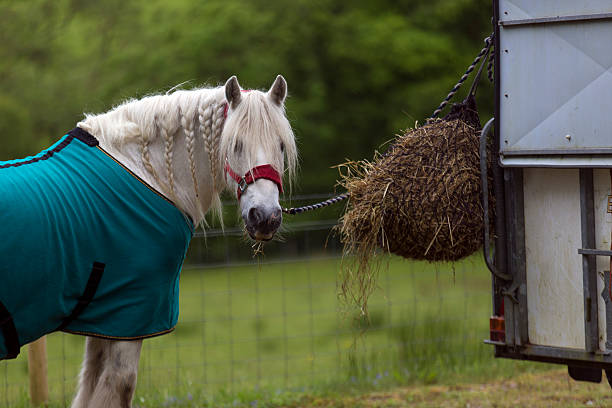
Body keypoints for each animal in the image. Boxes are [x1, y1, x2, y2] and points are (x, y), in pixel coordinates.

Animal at [68, 75, 298, 406]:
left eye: (280, 145)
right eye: (236, 145)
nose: (265, 217)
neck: (142, 172)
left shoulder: (104, 320)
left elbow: (90, 385)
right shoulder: (130, 314)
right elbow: (118, 385)